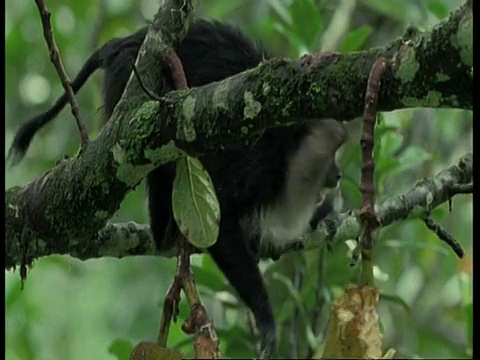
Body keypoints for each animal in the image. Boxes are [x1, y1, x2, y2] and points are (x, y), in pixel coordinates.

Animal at [7, 20, 344, 360]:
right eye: (328, 155)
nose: (338, 174)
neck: (284, 146)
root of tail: (125, 43)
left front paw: (325, 214)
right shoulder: (252, 166)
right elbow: (223, 230)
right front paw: (266, 320)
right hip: (130, 92)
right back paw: (163, 232)